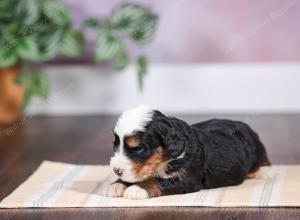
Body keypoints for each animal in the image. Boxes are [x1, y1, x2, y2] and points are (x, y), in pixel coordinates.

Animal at [102, 105, 270, 199]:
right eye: (115, 145)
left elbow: (158, 180)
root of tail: (241, 123)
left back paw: (264, 172)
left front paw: (137, 189)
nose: (116, 170)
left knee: (262, 160)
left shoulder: (188, 177)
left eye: (137, 148)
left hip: (256, 147)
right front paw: (116, 185)